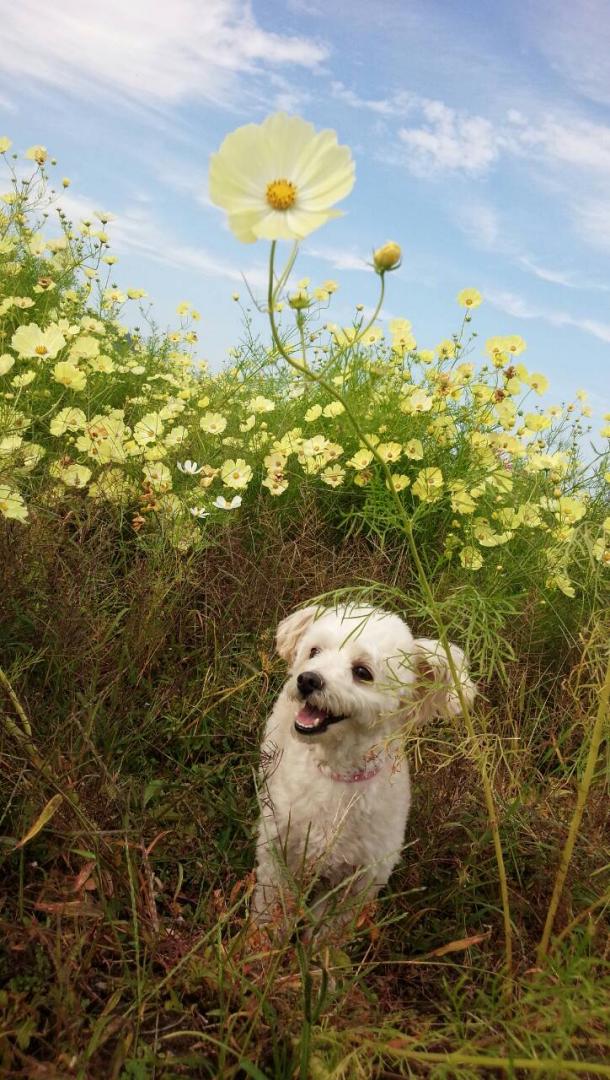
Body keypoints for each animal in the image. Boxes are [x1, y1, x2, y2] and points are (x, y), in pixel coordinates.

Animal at [252, 604, 475, 933]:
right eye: (314, 651)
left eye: (362, 672)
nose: (307, 679)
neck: (338, 773)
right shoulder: (278, 855)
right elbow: (270, 909)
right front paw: (260, 944)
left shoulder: (358, 885)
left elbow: (328, 936)